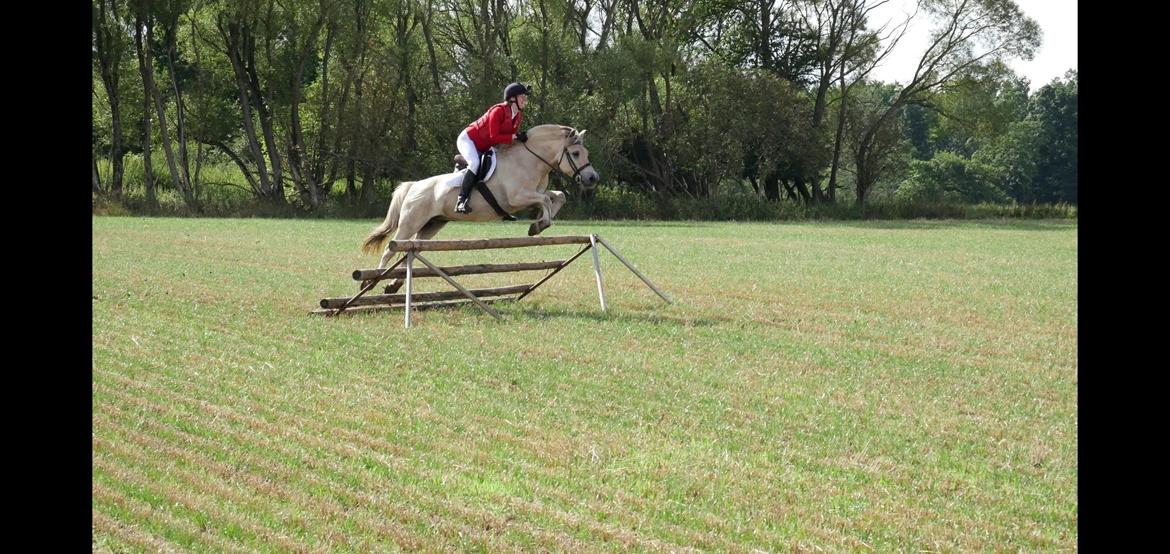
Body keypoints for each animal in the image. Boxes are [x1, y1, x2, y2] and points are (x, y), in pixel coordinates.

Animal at [355, 123, 599, 292]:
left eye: (586, 154)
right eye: (576, 154)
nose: (592, 178)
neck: (530, 161)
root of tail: (414, 185)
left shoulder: (534, 192)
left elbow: (558, 197)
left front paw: (538, 222)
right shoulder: (516, 197)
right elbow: (547, 201)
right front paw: (538, 225)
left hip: (432, 225)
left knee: (412, 252)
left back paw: (393, 285)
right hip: (410, 222)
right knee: (391, 249)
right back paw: (371, 281)